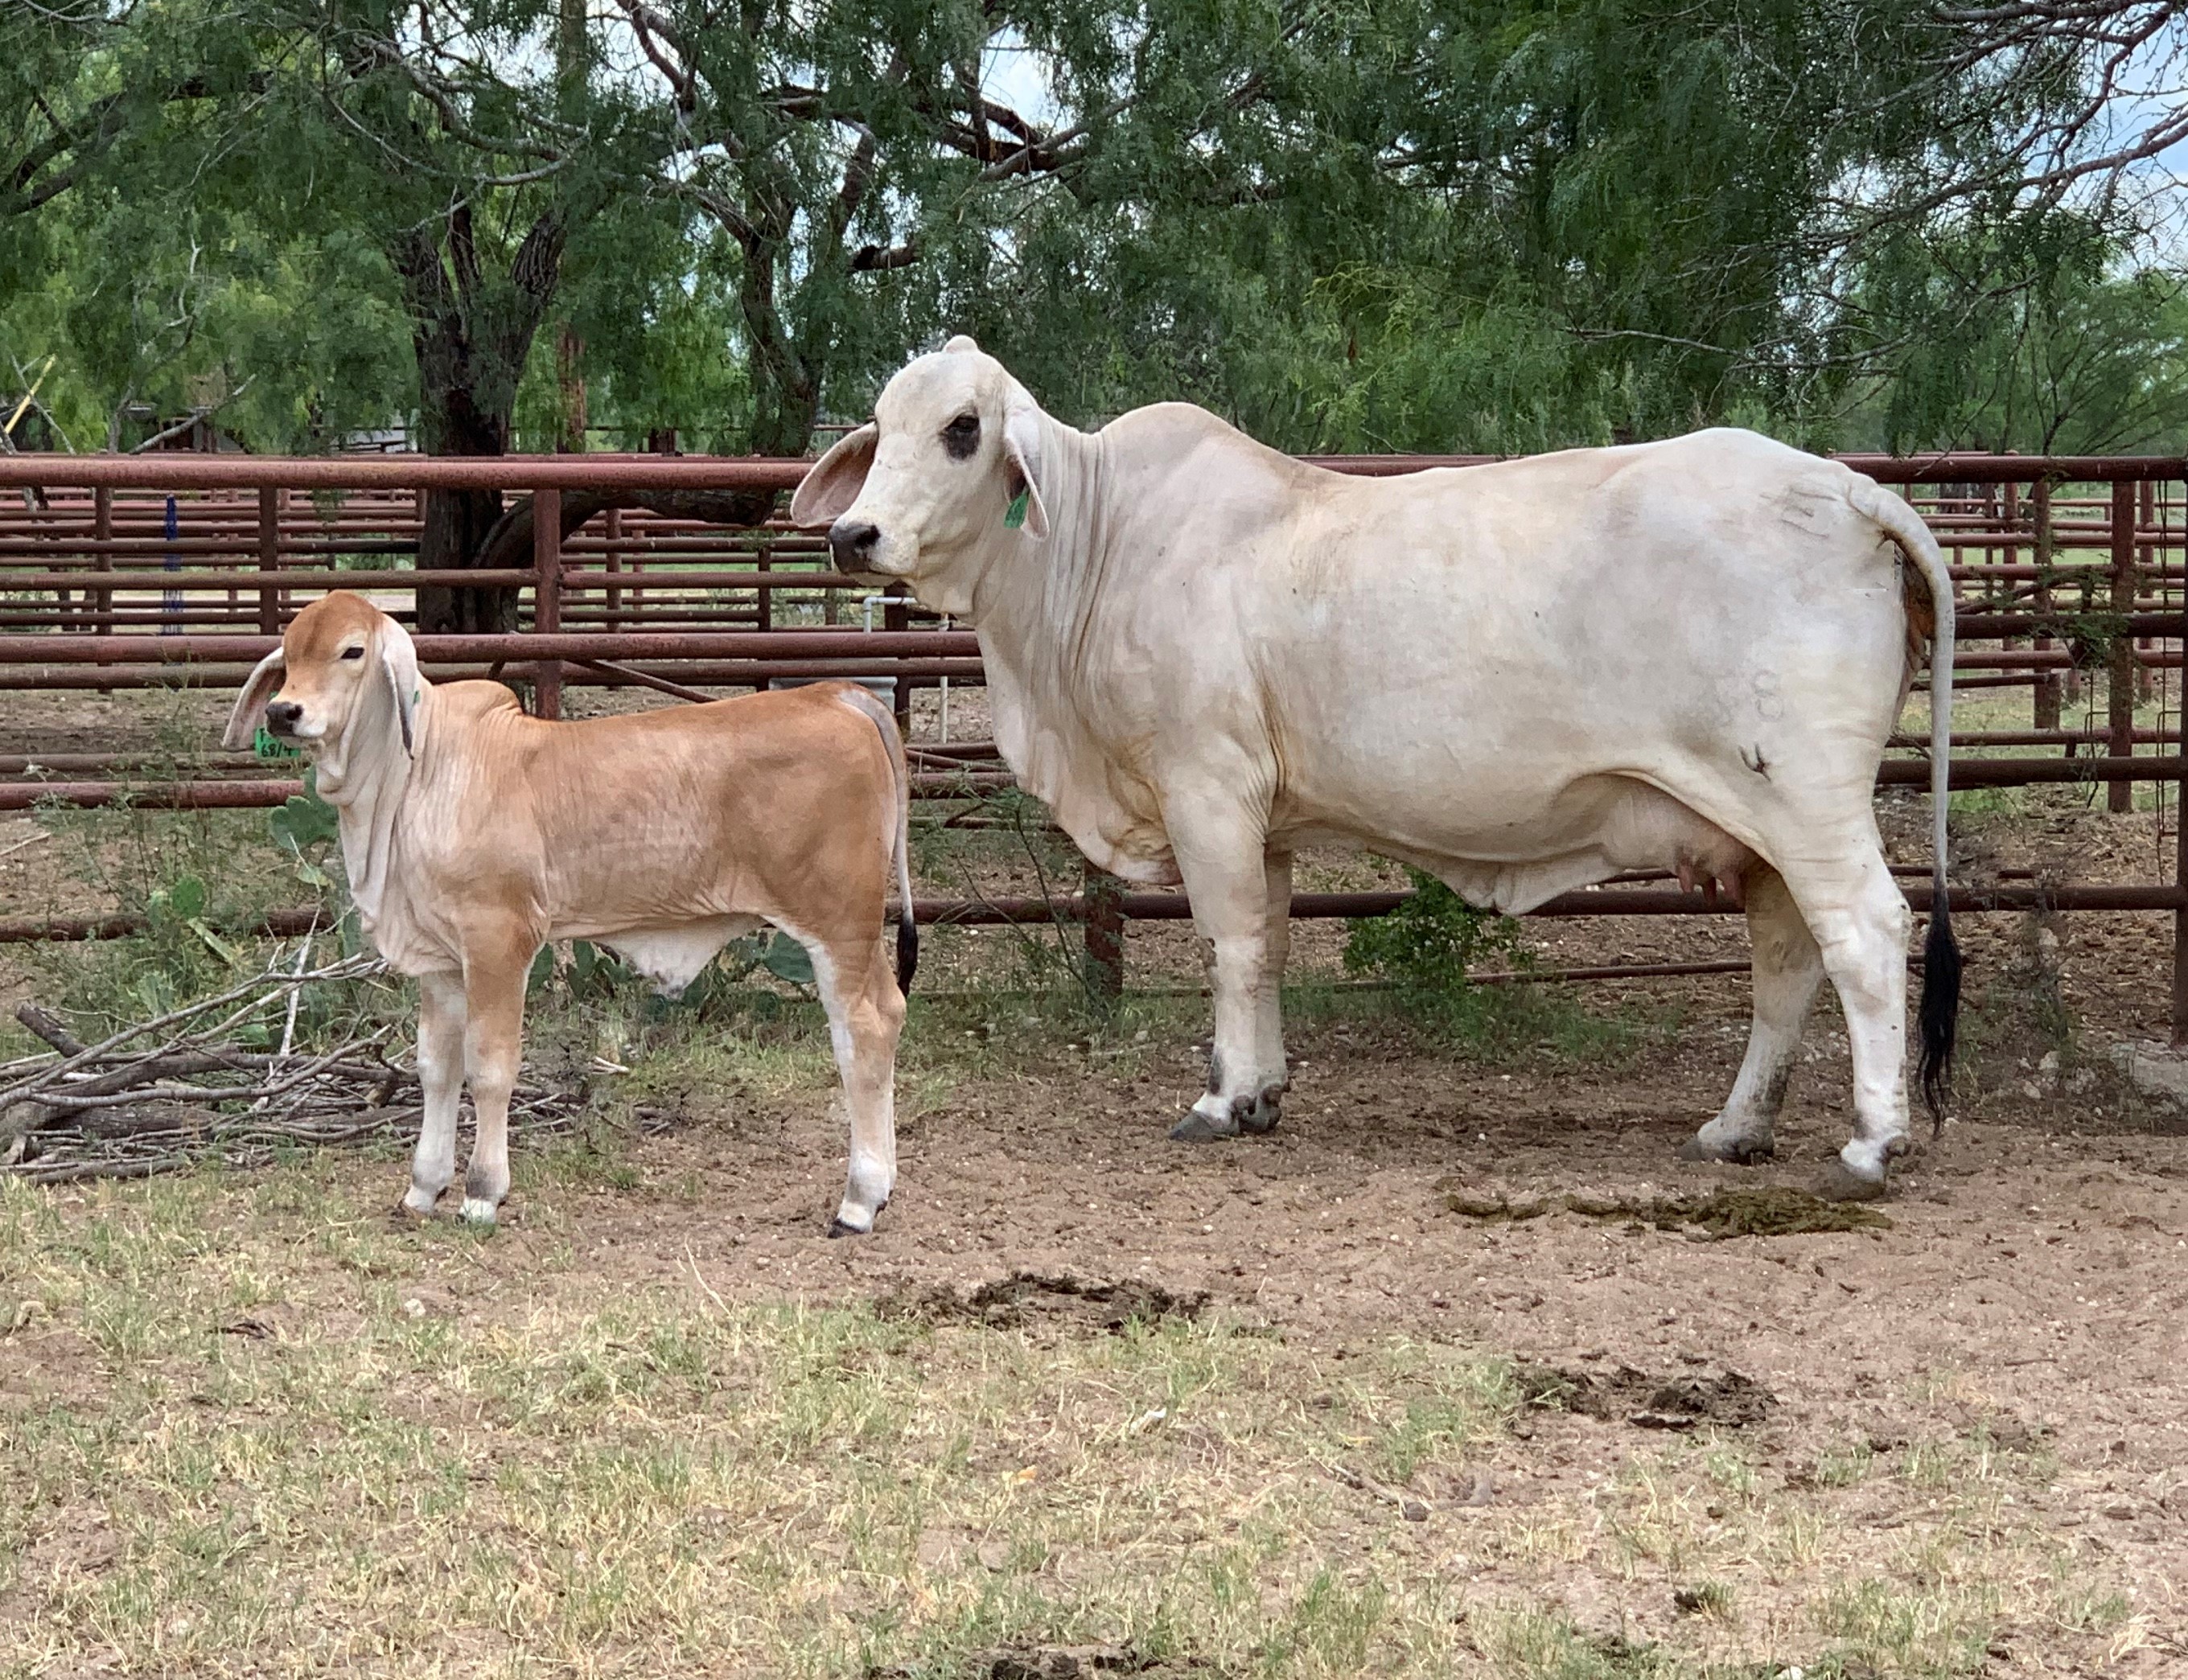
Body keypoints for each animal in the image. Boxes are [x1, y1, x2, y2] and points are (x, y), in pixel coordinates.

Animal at [223, 591, 916, 1233]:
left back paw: (858, 1199)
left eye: (352, 651)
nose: (285, 711)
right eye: (289, 655)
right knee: (880, 1017)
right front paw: (423, 1187)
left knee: (866, 1028)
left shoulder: (499, 940)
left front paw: (481, 1192)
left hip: (838, 923)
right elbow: (436, 1068)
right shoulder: (442, 961)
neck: (414, 778)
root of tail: (837, 695)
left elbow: (490, 1066)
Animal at [791, 336, 1960, 1201]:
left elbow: (1226, 946)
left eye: (963, 429)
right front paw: (1258, 1092)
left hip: (1805, 801)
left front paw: (1219, 1101)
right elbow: (1264, 949)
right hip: (1759, 832)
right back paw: (1735, 1126)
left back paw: (1869, 1145)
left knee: (1865, 935)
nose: (855, 533)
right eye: (881, 426)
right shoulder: (1261, 820)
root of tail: (1846, 491)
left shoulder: (1207, 790)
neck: (1100, 541)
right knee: (1787, 961)